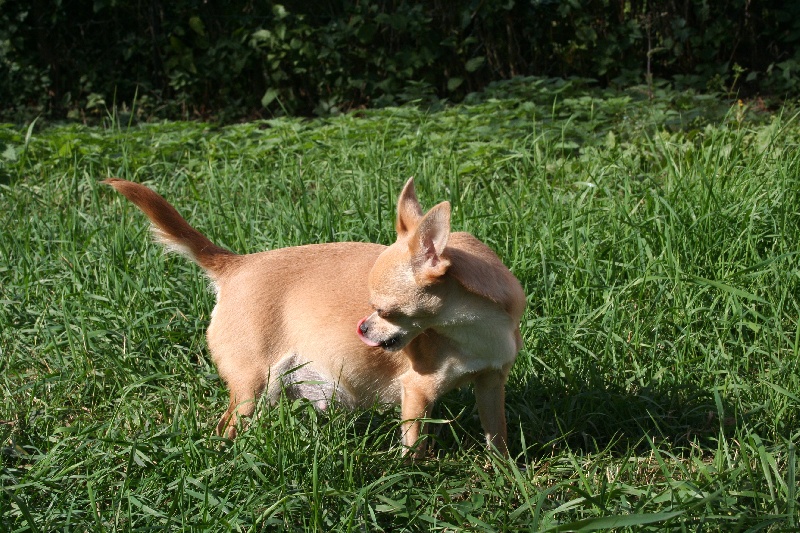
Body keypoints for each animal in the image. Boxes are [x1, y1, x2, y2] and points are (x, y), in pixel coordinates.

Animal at [106, 177, 528, 456]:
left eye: (384, 311)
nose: (361, 327)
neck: (472, 331)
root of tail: (234, 264)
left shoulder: (491, 383)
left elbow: (497, 433)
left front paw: (504, 472)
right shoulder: (417, 393)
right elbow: (415, 445)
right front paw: (415, 475)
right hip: (250, 387)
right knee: (227, 426)